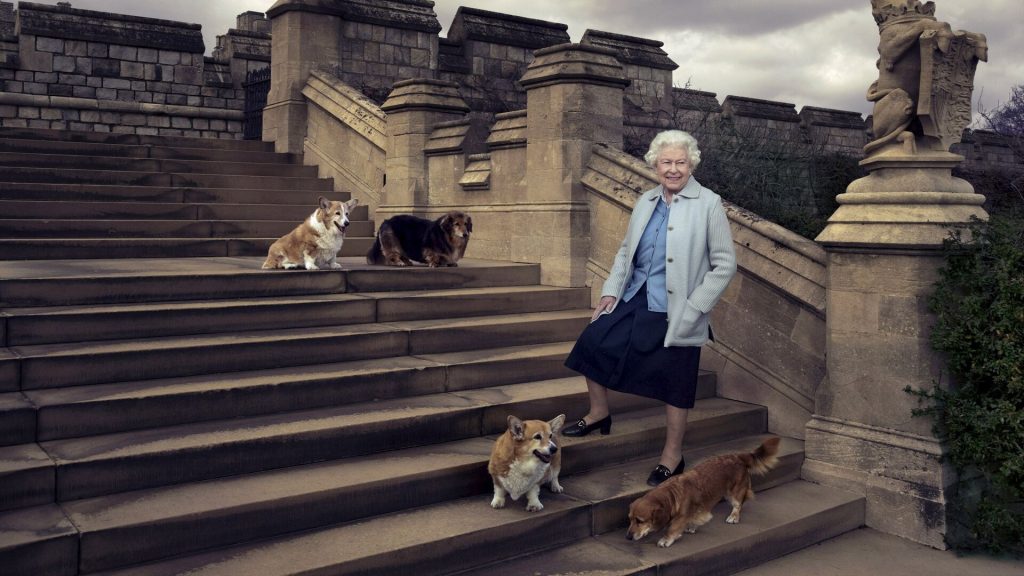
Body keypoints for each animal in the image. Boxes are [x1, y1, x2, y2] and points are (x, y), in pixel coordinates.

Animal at [622, 436, 774, 545]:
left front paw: (666, 539)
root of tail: (738, 456)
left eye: (640, 521)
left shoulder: (682, 516)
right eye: (630, 519)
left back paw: (734, 517)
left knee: (738, 504)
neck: (671, 494)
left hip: (734, 492)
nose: (627, 537)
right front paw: (691, 526)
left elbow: (673, 527)